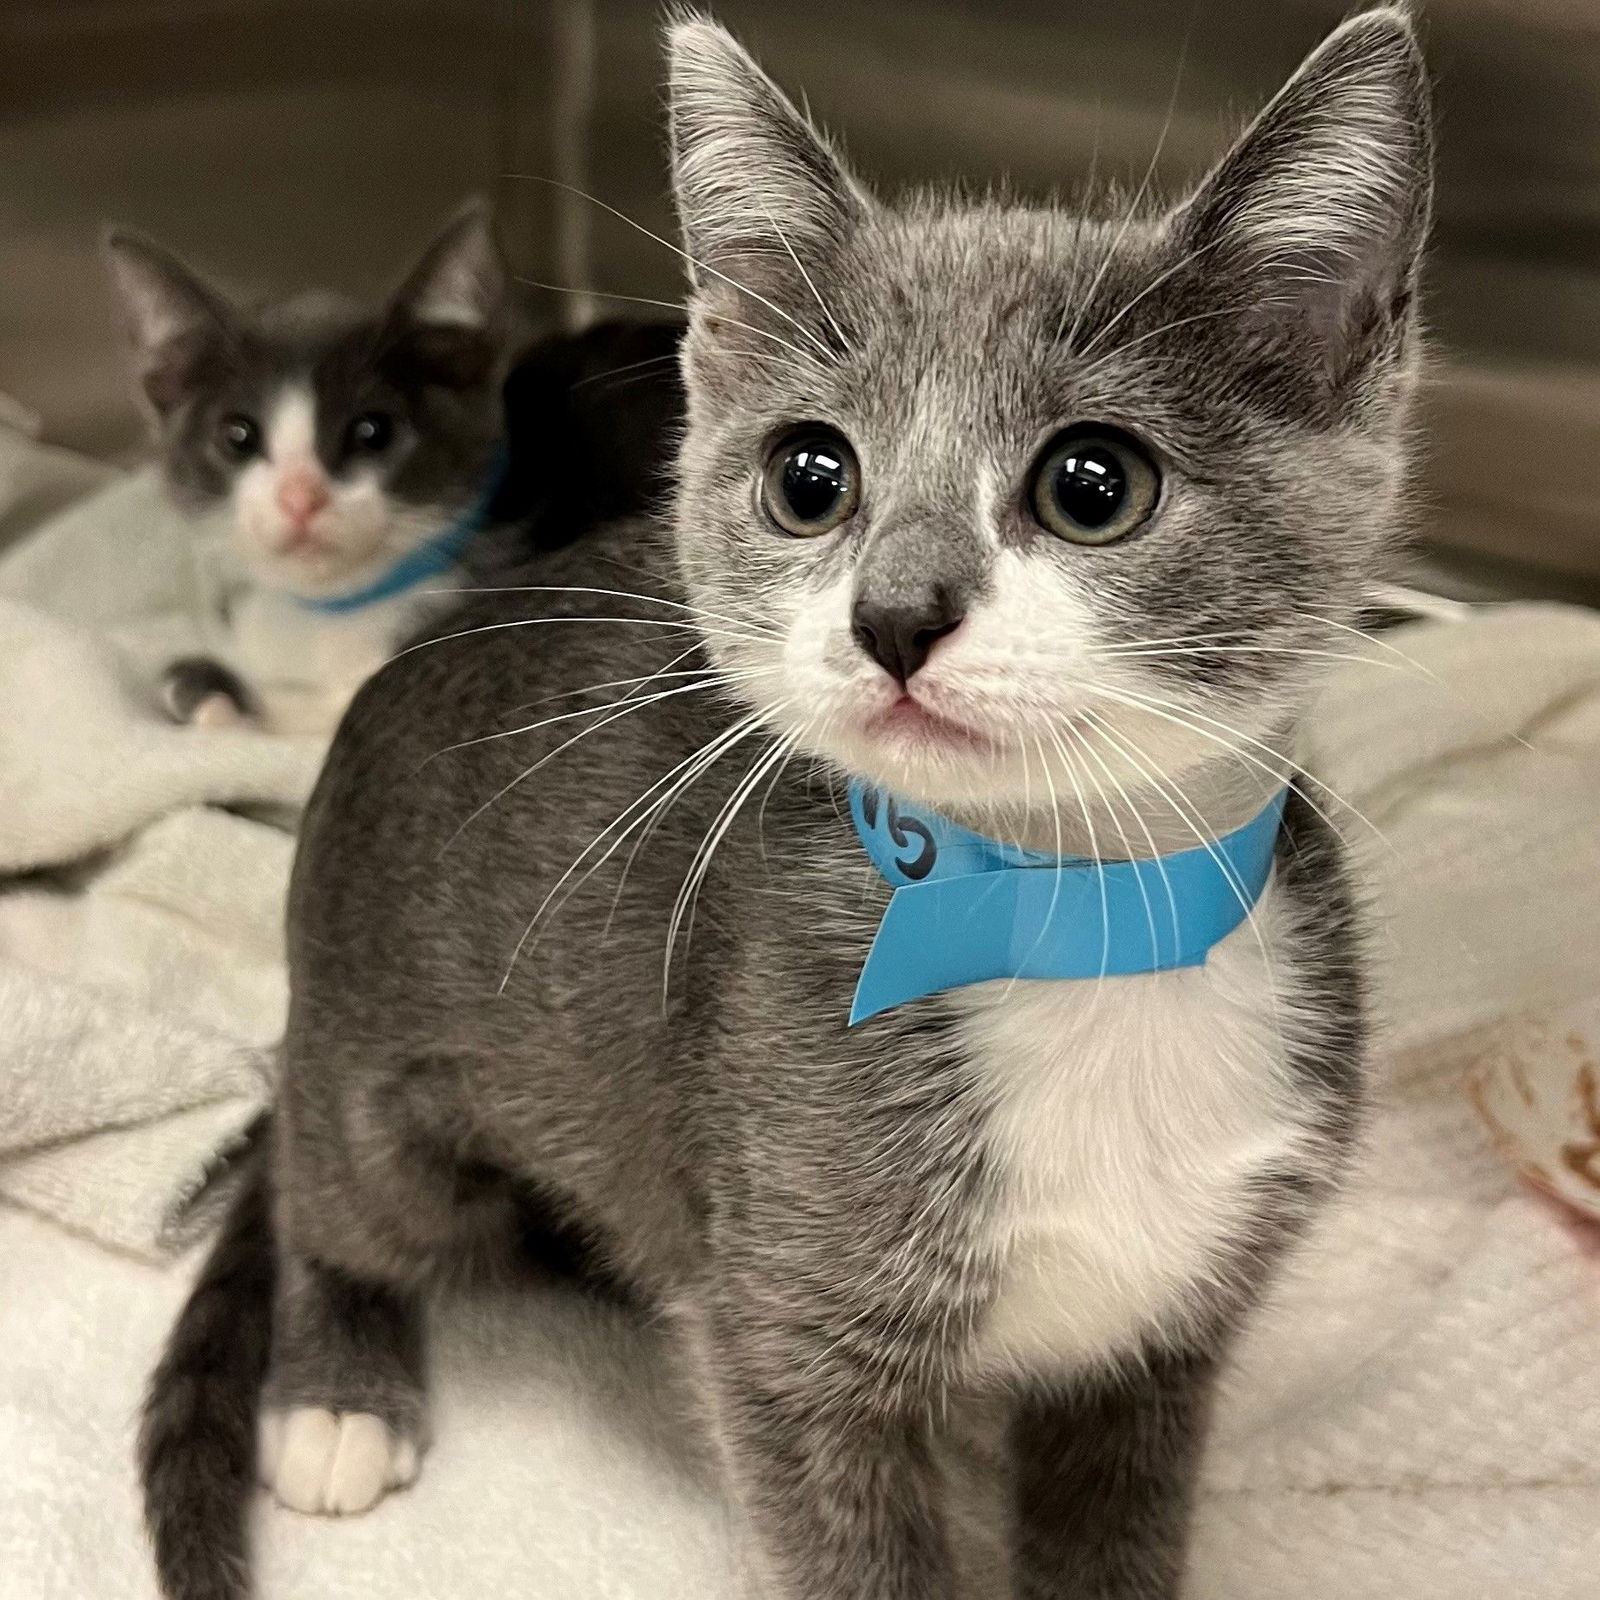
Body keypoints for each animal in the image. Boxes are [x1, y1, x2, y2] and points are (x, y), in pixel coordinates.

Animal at [103, 201, 521, 742]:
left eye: (372, 431)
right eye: (238, 436)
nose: (300, 498)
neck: (334, 613)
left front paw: (228, 701)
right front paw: (203, 690)